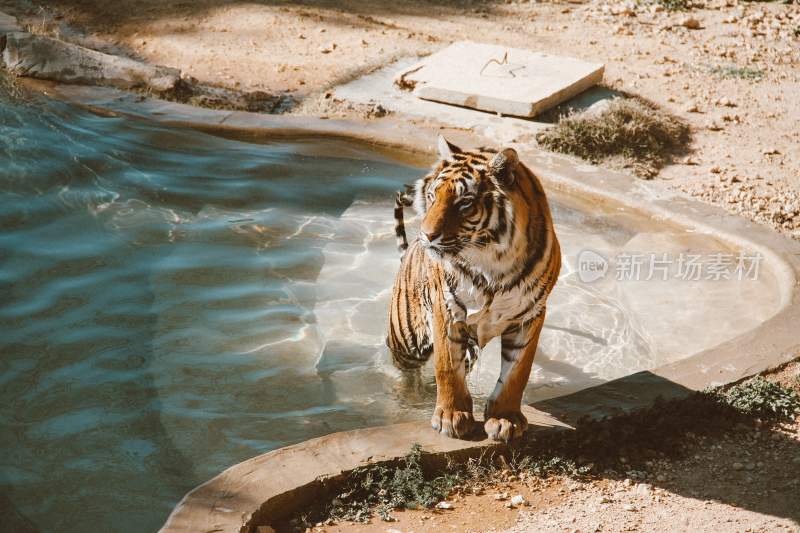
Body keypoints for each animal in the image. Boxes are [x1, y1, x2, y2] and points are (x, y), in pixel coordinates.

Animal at [388, 135, 564, 442]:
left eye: (465, 203)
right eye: (432, 196)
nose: (426, 235)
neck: (494, 263)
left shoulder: (530, 315)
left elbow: (517, 373)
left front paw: (505, 419)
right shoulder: (446, 309)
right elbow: (447, 367)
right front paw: (450, 417)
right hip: (406, 340)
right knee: (406, 372)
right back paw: (408, 397)